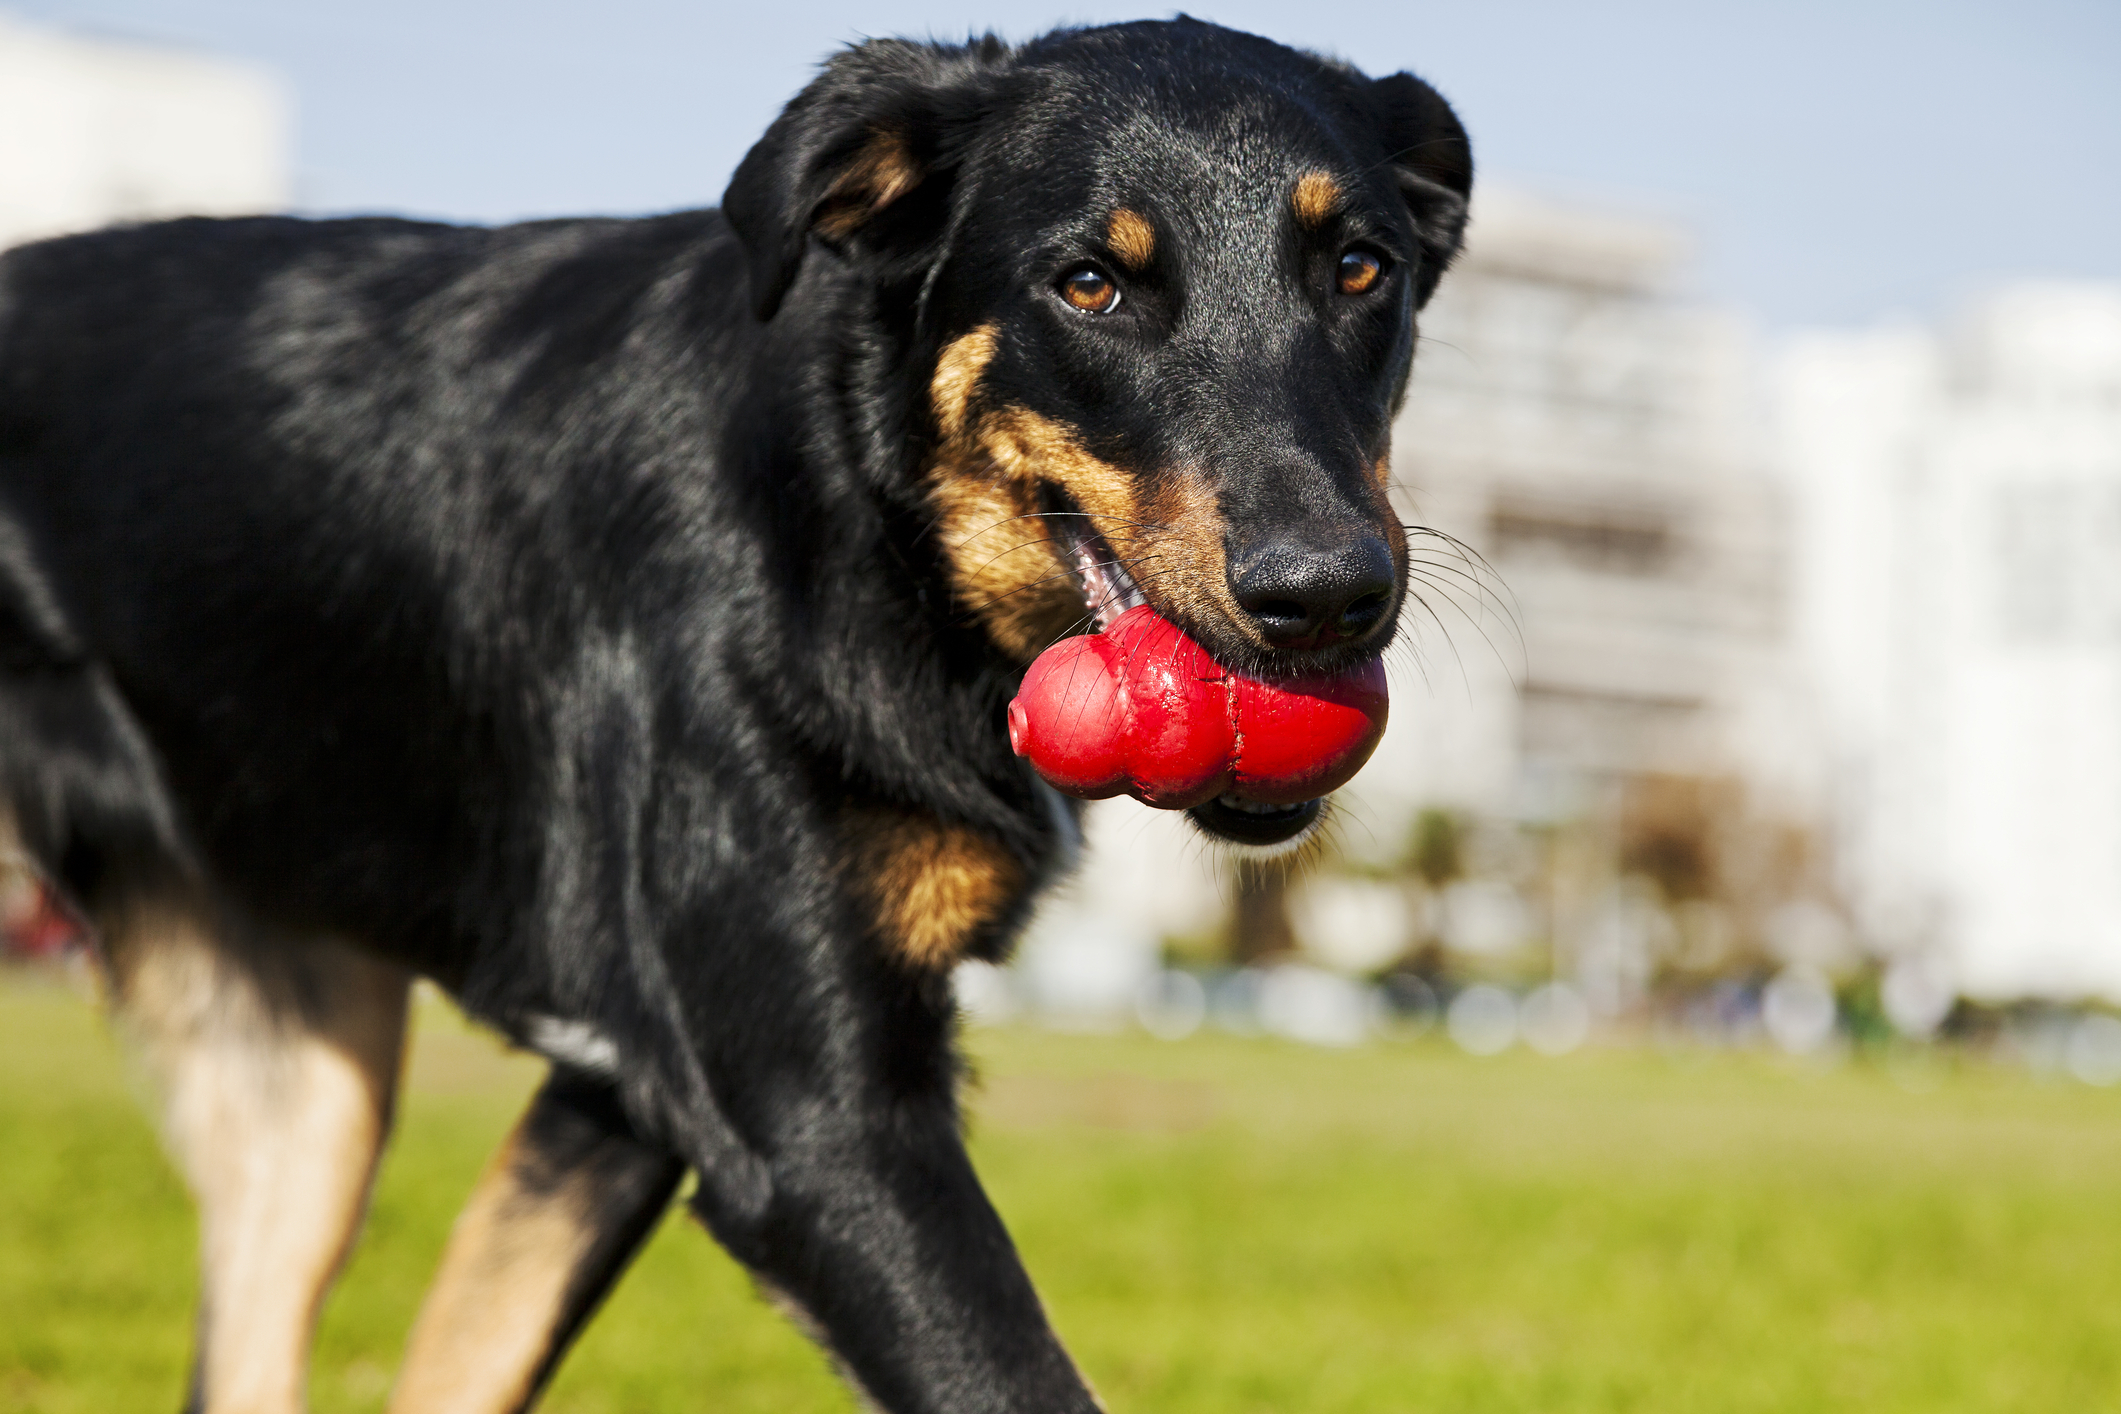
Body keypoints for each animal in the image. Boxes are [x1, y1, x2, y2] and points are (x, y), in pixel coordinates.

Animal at [0, 16, 1459, 1407]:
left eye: (1360, 270)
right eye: (1090, 283)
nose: (1328, 595)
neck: (861, 513)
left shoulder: (614, 1097)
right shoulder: (816, 1127)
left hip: (310, 1089)